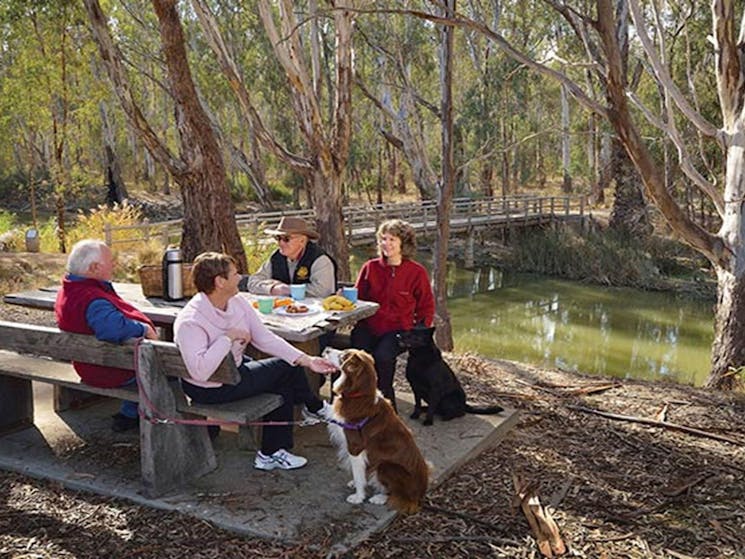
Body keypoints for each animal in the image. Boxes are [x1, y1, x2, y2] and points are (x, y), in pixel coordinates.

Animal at [320, 350, 430, 516]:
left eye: (343, 357)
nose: (326, 349)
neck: (359, 395)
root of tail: (419, 496)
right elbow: (360, 471)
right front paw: (356, 483)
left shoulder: (355, 446)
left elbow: (358, 473)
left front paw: (358, 496)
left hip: (387, 466)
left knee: (397, 494)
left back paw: (379, 497)